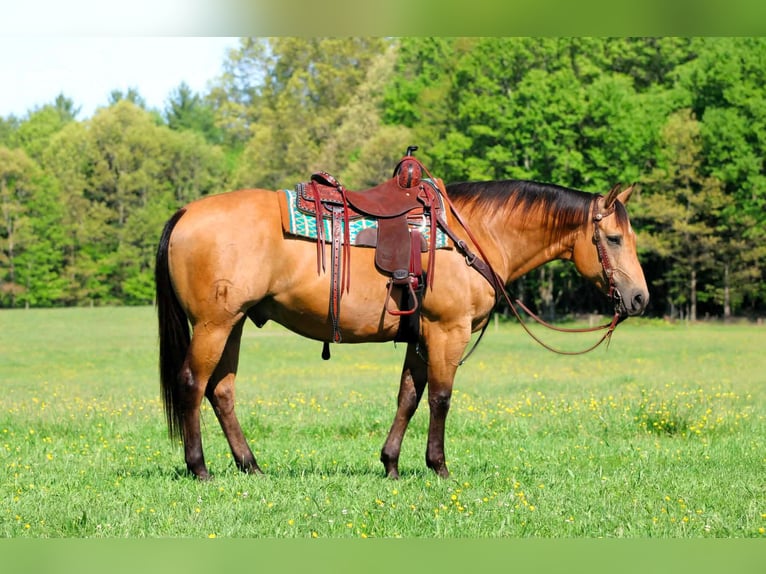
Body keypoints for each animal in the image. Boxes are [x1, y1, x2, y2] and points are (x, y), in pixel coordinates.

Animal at [155, 176, 649, 480]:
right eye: (614, 238)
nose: (640, 299)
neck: (474, 233)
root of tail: (185, 212)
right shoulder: (448, 331)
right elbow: (440, 398)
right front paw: (439, 465)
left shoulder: (421, 335)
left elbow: (408, 396)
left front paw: (390, 464)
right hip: (214, 324)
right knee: (192, 384)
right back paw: (200, 468)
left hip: (234, 323)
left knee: (221, 391)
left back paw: (250, 465)